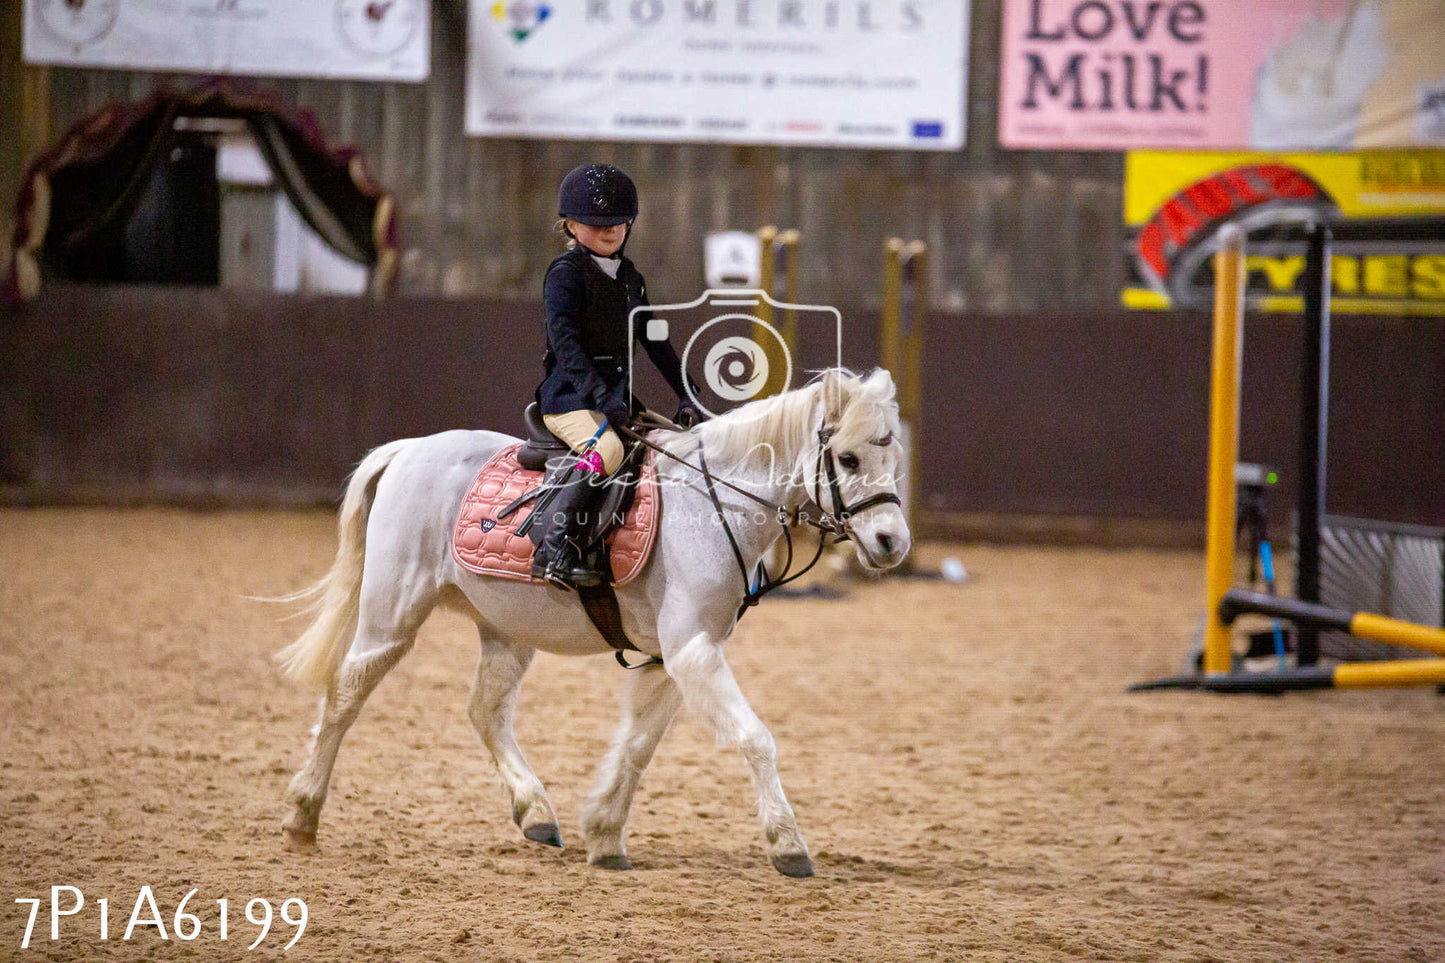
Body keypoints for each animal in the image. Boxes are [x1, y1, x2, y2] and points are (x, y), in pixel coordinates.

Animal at [275, 364, 907, 873]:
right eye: (848, 458)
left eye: (892, 457)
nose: (892, 543)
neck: (713, 505)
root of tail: (408, 450)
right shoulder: (693, 652)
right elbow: (756, 739)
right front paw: (787, 844)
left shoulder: (671, 658)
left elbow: (639, 745)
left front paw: (604, 835)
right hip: (391, 618)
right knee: (345, 695)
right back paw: (303, 816)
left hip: (507, 630)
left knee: (485, 712)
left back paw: (535, 813)